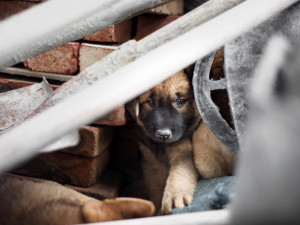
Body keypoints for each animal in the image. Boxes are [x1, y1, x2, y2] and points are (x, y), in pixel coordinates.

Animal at [127, 71, 236, 214]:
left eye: (180, 101)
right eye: (150, 102)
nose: (163, 135)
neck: (163, 147)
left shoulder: (183, 150)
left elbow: (179, 173)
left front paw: (174, 195)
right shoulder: (151, 162)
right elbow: (156, 188)